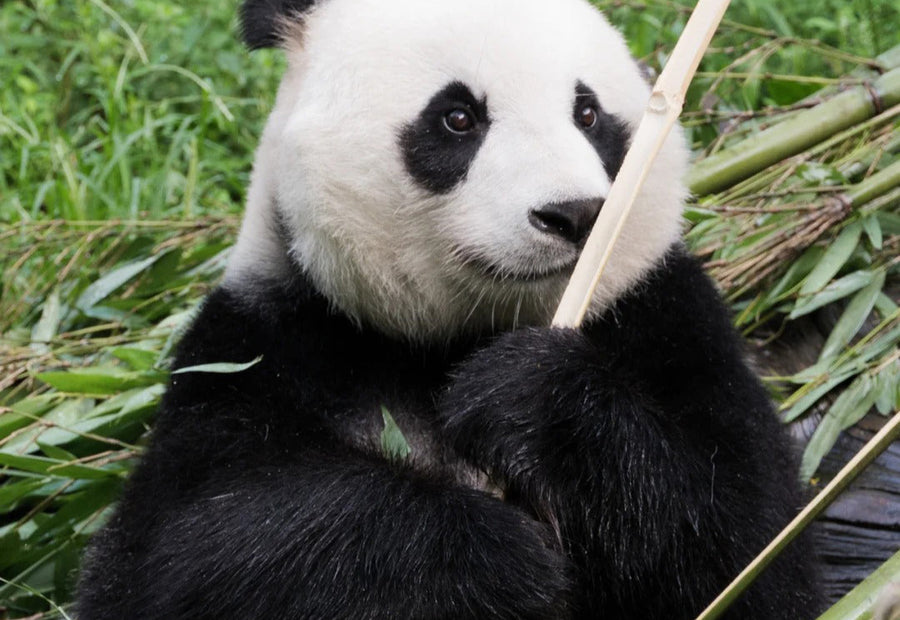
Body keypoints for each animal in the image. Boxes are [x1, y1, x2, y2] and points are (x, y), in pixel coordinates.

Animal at [76, 0, 821, 618]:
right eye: (458, 117)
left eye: (588, 114)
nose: (574, 214)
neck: (450, 335)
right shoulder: (262, 345)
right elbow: (183, 551)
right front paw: (494, 554)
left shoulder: (665, 315)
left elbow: (747, 542)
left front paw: (527, 397)